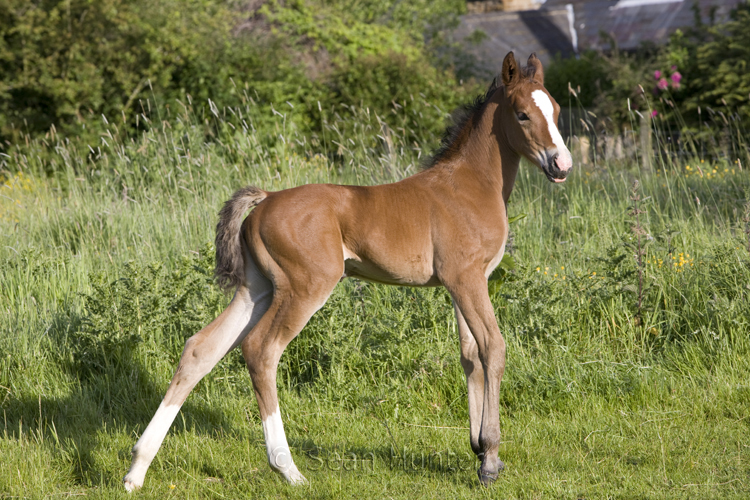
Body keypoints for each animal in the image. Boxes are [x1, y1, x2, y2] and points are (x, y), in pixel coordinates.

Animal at [122, 52, 576, 490]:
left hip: (257, 289)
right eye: (522, 114)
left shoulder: (462, 282)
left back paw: (137, 469)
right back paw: (288, 469)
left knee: (201, 349)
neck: (469, 186)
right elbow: (493, 348)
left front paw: (479, 450)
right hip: (305, 287)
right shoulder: (466, 278)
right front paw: (491, 461)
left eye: (555, 109)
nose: (562, 164)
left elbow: (469, 355)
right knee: (261, 351)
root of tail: (265, 199)